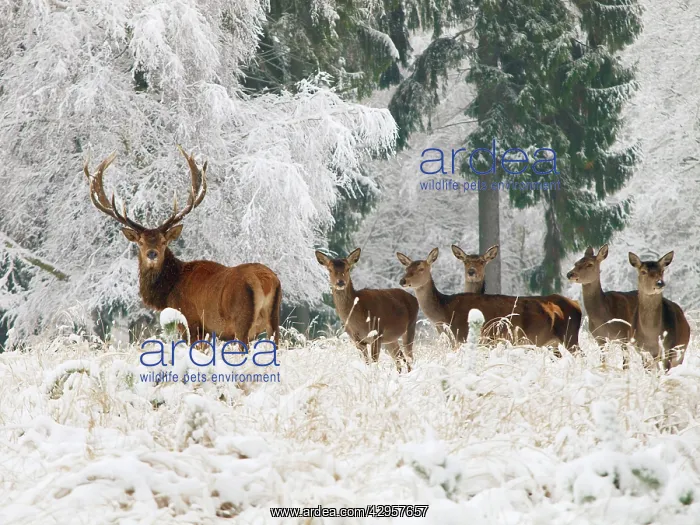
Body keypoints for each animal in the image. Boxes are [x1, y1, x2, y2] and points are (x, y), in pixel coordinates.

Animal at [84, 147, 282, 348]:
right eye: (140, 242)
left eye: (164, 241)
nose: (152, 254)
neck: (169, 291)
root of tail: (266, 281)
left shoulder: (191, 322)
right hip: (274, 322)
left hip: (241, 321)